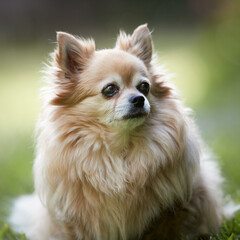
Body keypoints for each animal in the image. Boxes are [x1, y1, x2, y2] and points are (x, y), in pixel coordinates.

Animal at [9, 24, 223, 240]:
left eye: (144, 86)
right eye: (110, 89)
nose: (139, 99)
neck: (120, 147)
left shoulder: (172, 210)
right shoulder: (71, 218)